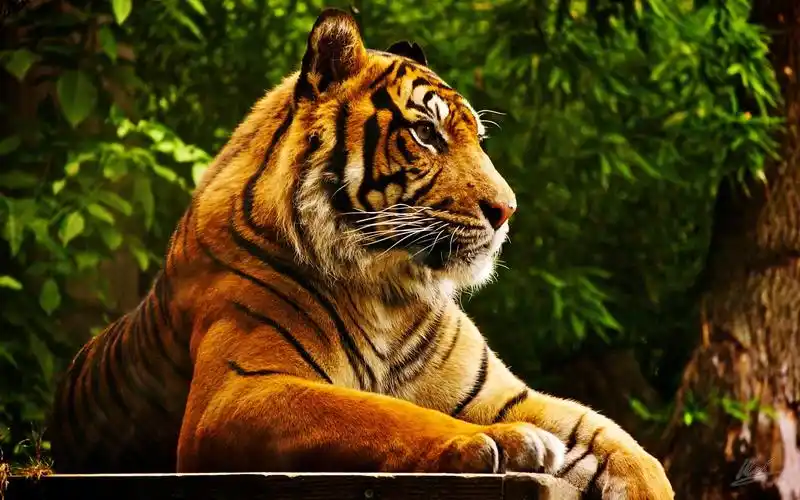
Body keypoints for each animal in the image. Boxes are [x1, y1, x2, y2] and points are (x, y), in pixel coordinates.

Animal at [48, 8, 674, 499]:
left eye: (476, 138)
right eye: (426, 134)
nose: (507, 210)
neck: (390, 290)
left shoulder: (501, 392)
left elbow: (617, 440)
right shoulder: (237, 391)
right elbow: (384, 411)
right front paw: (497, 441)